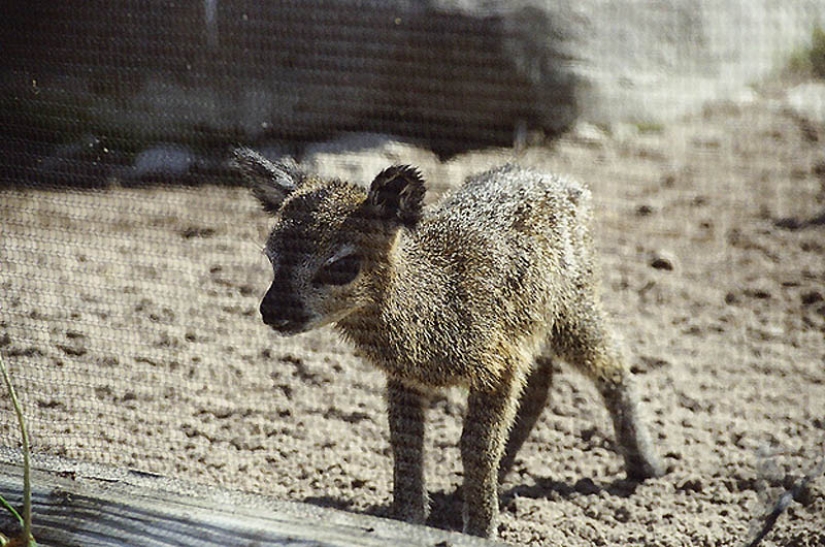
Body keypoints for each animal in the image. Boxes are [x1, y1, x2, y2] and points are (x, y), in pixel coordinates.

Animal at [233, 150, 664, 540]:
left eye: (340, 264)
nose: (272, 310)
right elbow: (407, 444)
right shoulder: (408, 376)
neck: (434, 309)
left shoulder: (499, 363)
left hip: (572, 308)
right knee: (541, 387)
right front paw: (407, 520)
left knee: (613, 362)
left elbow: (475, 445)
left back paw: (647, 465)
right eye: (271, 256)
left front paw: (481, 529)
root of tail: (569, 185)